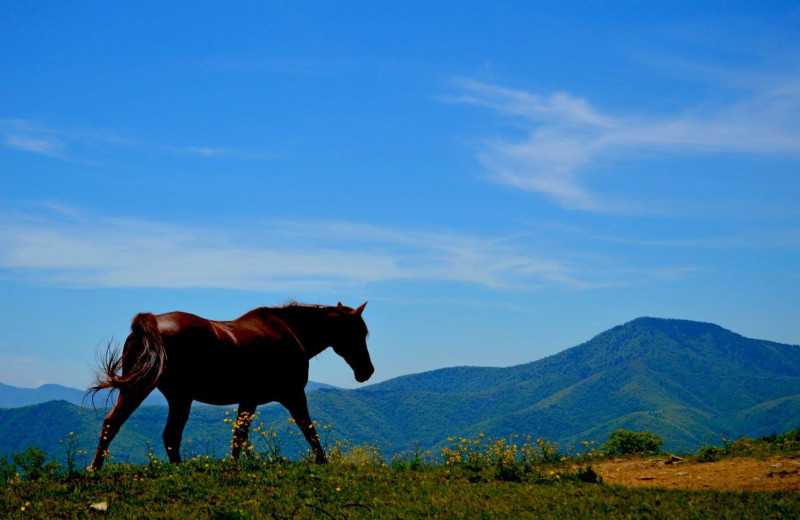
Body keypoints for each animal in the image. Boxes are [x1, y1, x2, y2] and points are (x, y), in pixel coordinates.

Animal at [87, 300, 376, 468]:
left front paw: (233, 466)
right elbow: (309, 429)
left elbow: (239, 436)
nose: (368, 371)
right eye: (357, 333)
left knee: (124, 425)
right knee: (159, 432)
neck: (290, 332)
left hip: (154, 392)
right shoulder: (293, 394)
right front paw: (323, 461)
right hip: (165, 394)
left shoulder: (248, 400)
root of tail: (152, 322)